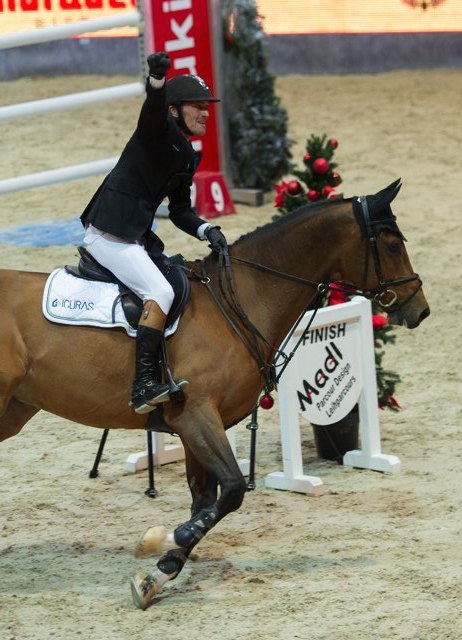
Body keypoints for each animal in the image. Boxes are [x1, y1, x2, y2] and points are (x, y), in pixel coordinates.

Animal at [0, 179, 430, 604]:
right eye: (393, 245)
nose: (420, 310)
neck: (243, 298)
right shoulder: (196, 416)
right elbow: (234, 490)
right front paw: (165, 537)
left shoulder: (196, 426)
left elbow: (207, 499)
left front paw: (157, 573)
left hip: (15, 410)